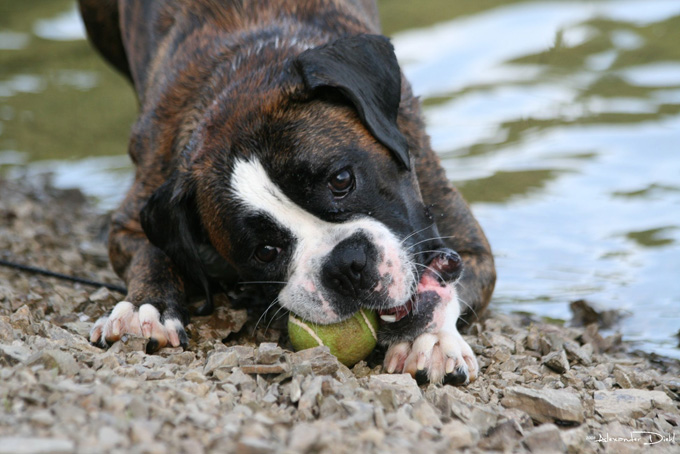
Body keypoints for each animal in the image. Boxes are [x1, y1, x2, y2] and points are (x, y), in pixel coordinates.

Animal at [79, 0, 494, 386]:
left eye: (341, 180)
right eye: (266, 252)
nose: (346, 265)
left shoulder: (470, 246)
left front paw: (430, 339)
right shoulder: (135, 216)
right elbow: (152, 253)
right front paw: (145, 308)